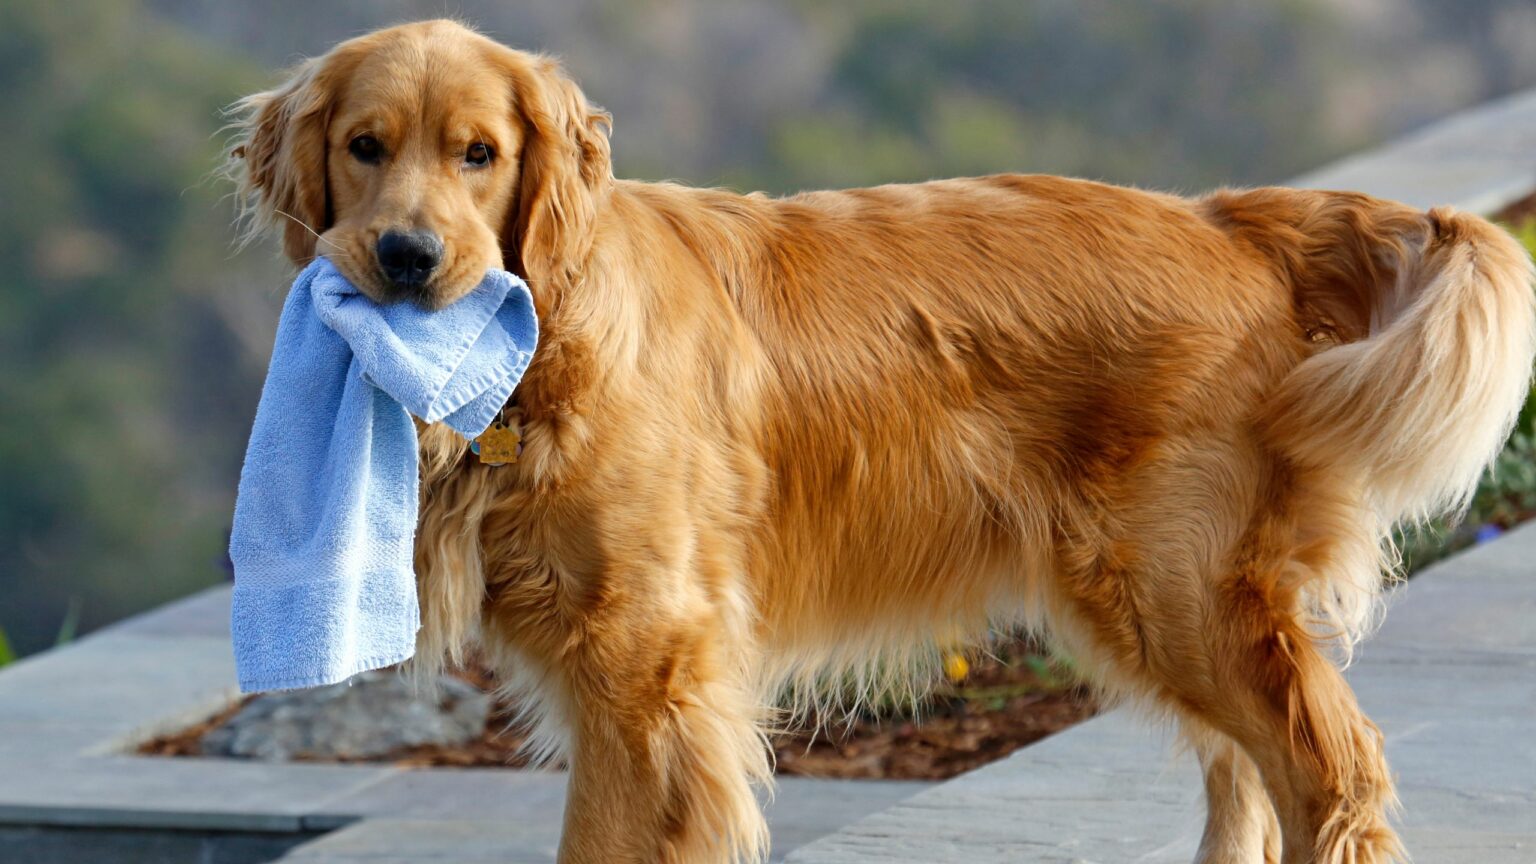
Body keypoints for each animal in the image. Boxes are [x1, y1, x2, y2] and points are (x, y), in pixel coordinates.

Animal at [230, 20, 1536, 860]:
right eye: (364, 146)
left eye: (480, 154)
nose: (406, 258)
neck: (548, 336)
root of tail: (1233, 221)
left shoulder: (646, 665)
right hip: (1164, 608)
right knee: (1246, 777)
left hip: (1183, 591)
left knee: (1328, 776)